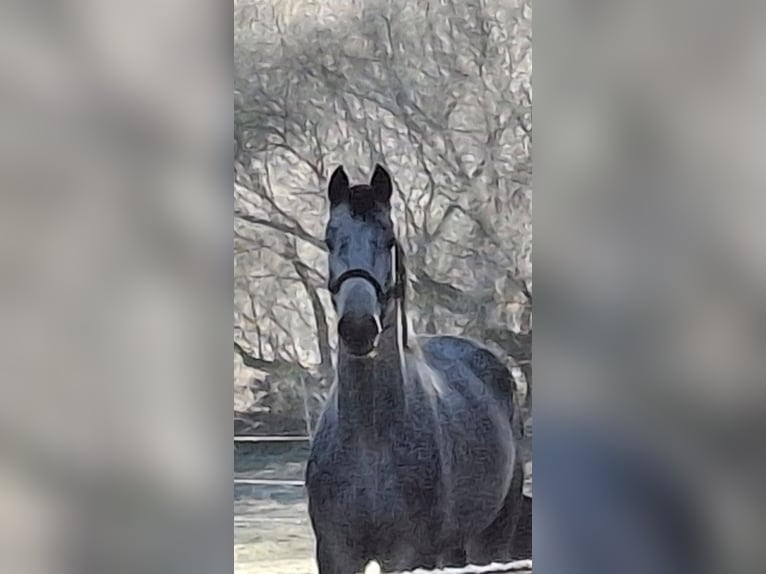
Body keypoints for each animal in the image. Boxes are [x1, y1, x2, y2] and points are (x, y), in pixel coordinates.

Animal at [308, 165, 528, 574]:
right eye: (330, 239)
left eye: (389, 239)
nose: (358, 327)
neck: (370, 439)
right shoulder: (335, 554)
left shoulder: (408, 555)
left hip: (490, 539)